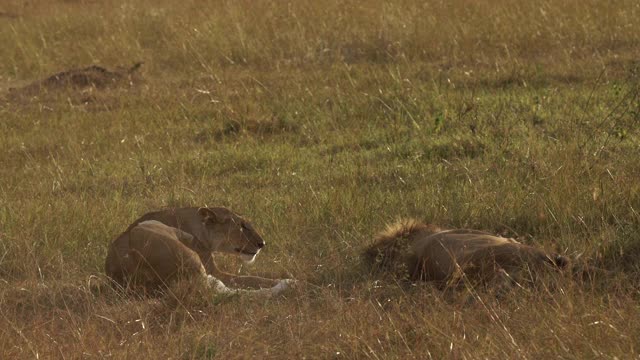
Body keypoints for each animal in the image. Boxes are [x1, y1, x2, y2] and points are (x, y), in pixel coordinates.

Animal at [105, 207, 296, 294]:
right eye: (242, 226)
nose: (262, 243)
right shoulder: (215, 270)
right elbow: (253, 279)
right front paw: (288, 280)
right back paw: (289, 285)